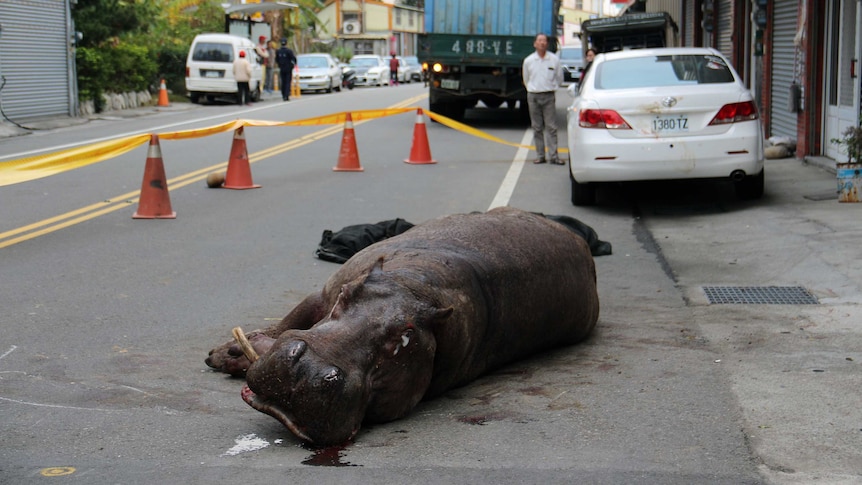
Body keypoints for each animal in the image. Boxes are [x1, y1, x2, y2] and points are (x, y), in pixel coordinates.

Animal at [208, 206, 600, 444]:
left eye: (406, 339)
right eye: (347, 295)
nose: (309, 370)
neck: (414, 287)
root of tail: (579, 241)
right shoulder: (328, 290)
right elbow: (291, 319)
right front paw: (228, 352)